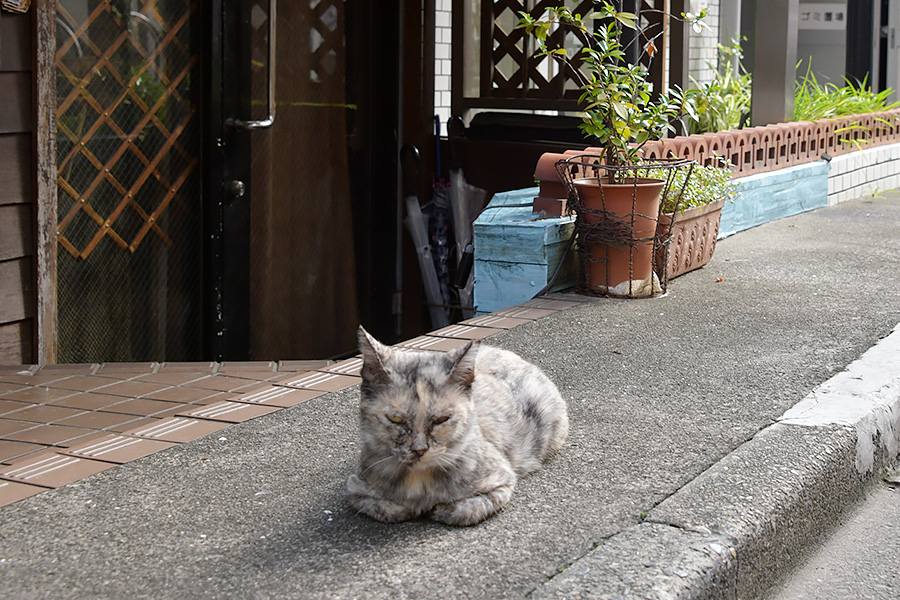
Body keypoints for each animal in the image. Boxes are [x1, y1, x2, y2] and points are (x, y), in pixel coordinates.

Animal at [346, 326, 568, 528]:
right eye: (395, 419)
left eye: (441, 419)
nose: (419, 449)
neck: (419, 480)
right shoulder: (356, 489)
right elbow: (388, 509)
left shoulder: (501, 481)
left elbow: (464, 510)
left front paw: (438, 509)